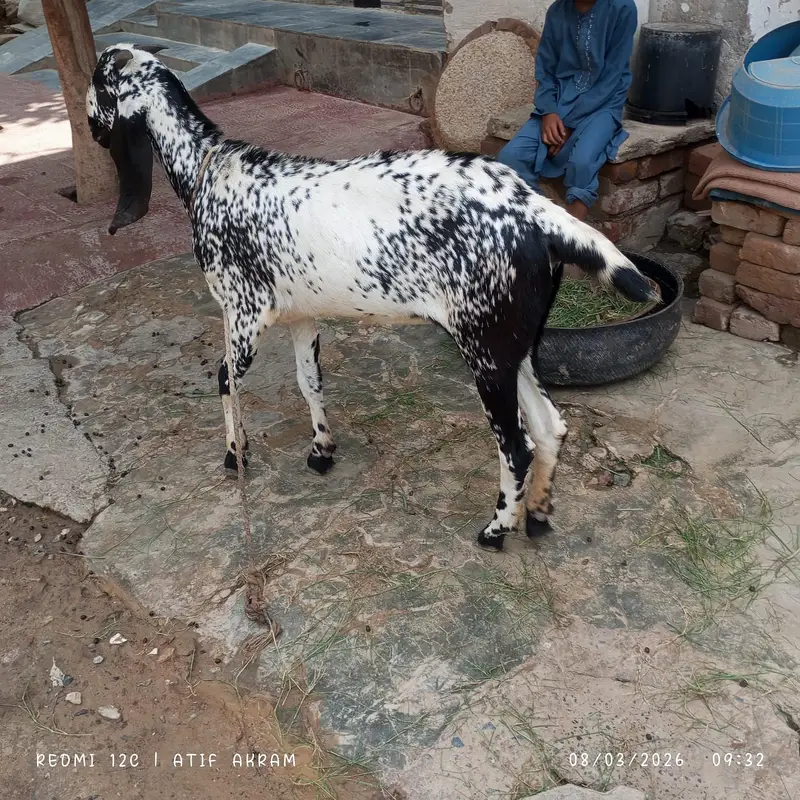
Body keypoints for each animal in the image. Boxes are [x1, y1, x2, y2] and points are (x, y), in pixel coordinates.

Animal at [86, 44, 660, 550]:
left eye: (96, 87)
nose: (92, 129)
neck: (209, 170)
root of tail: (532, 210)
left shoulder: (241, 310)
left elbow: (225, 376)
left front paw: (235, 454)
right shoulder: (302, 315)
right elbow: (309, 380)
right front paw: (321, 449)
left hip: (484, 345)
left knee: (516, 446)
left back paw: (497, 530)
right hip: (511, 343)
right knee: (550, 426)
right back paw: (537, 516)